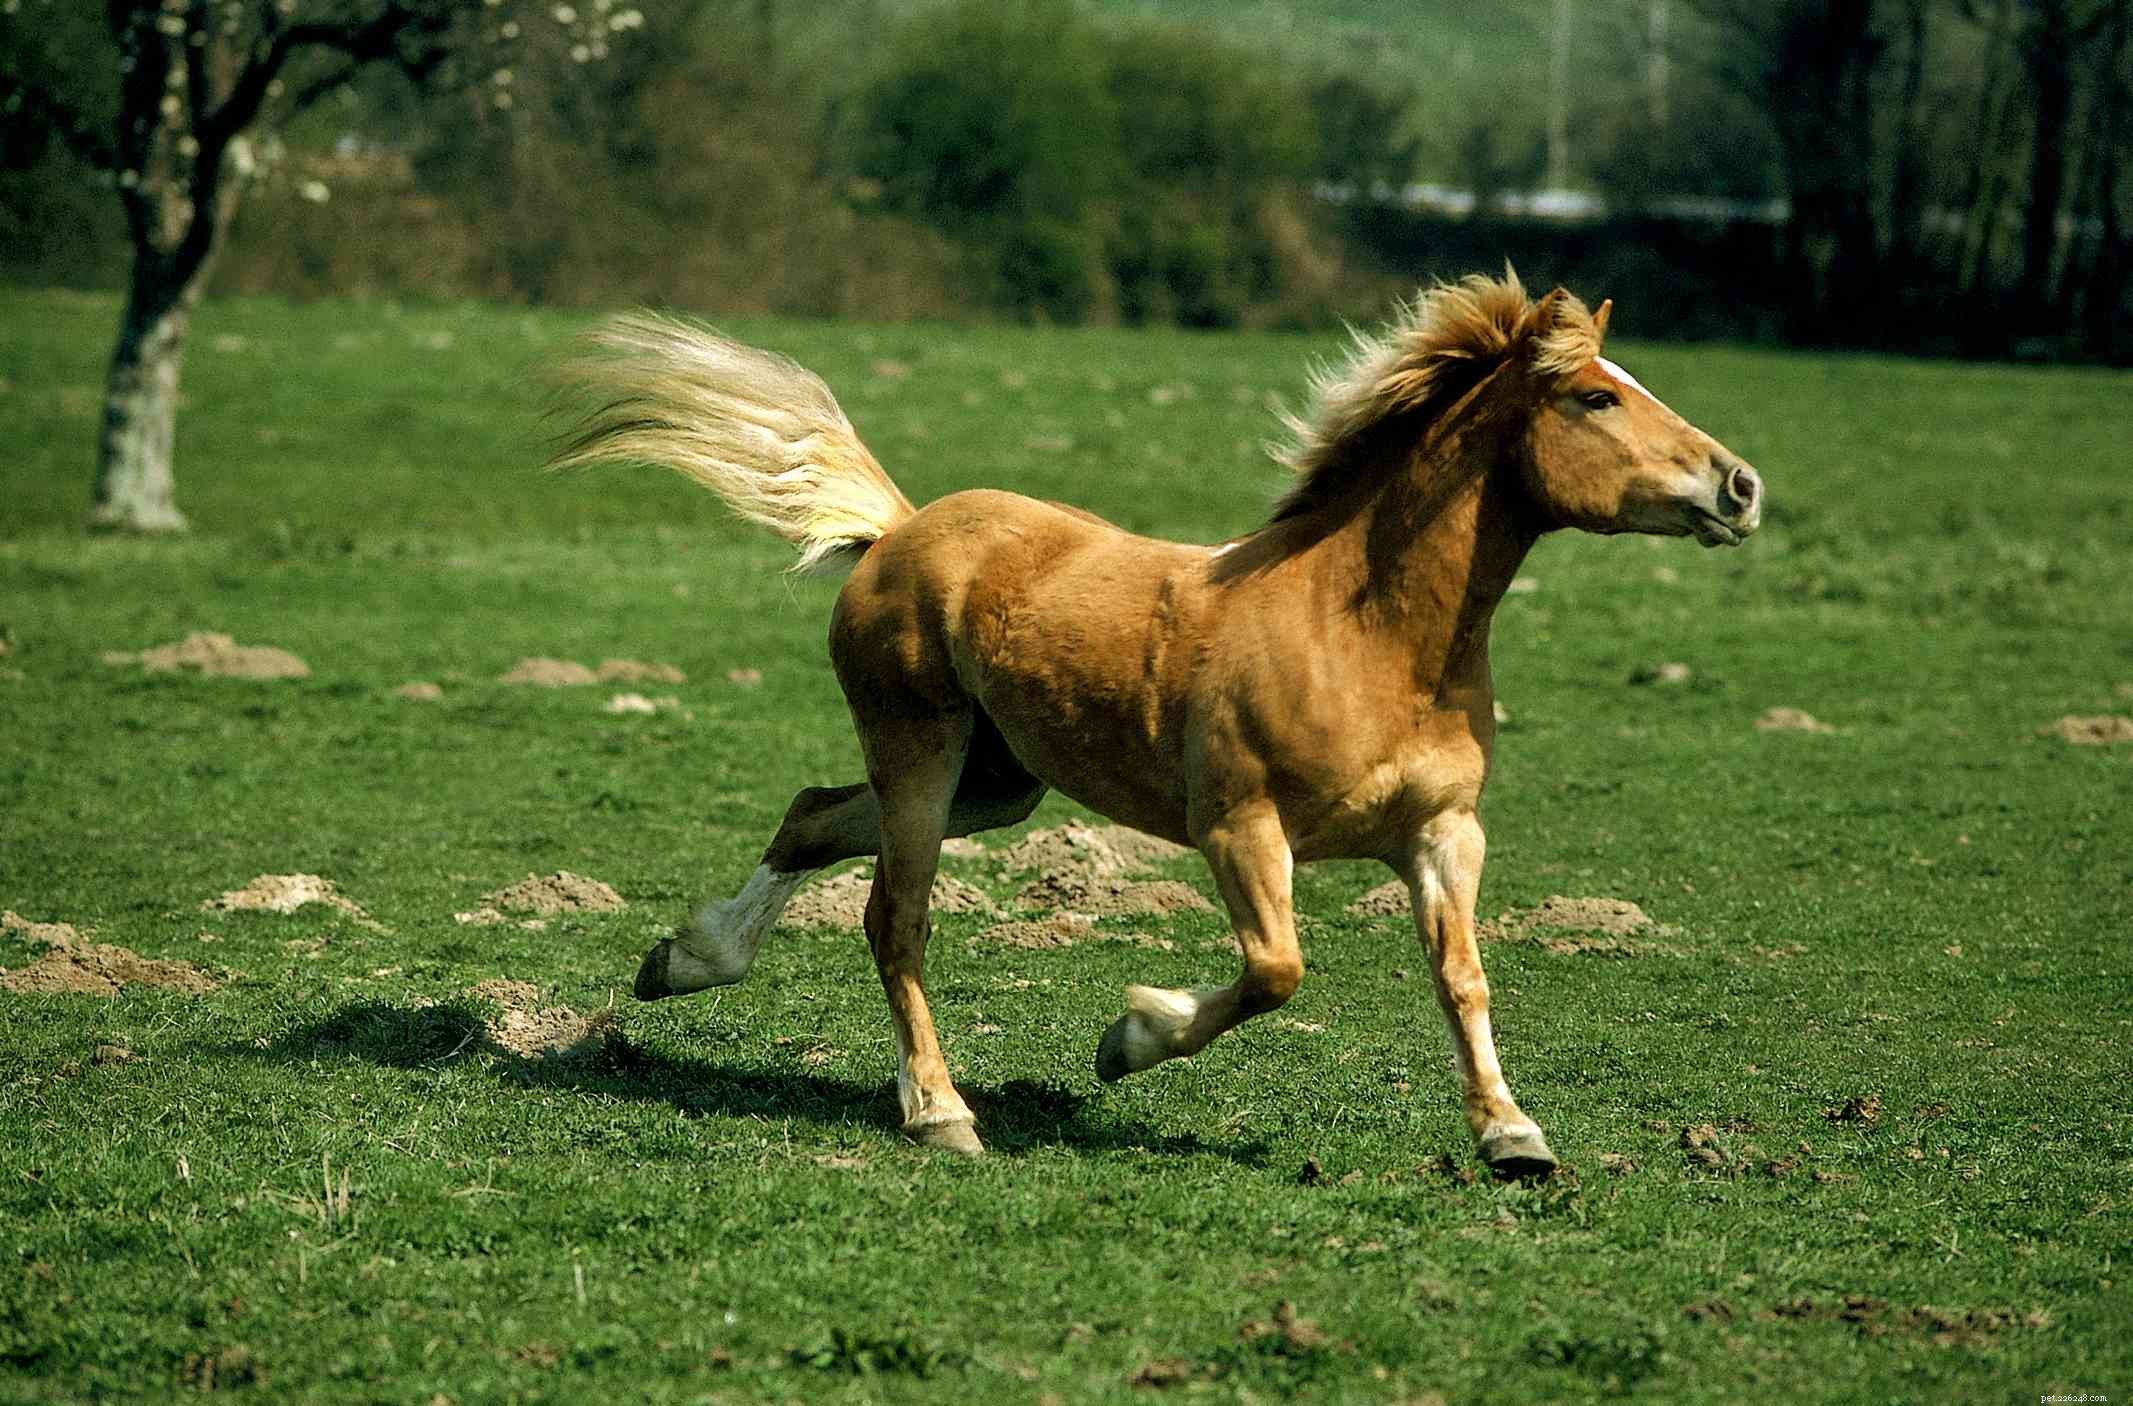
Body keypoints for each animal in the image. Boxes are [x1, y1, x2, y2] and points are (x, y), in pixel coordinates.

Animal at [545, 271, 1763, 1176]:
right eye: (1594, 399)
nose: (1740, 486)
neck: (1366, 634)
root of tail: (896, 530)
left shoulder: (1442, 834)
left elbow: (1462, 978)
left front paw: (1513, 1135)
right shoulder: (1240, 826)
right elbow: (1276, 972)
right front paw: (1126, 1040)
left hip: (1000, 781)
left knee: (810, 818)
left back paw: (685, 960)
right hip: (921, 758)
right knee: (896, 918)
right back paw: (940, 1112)